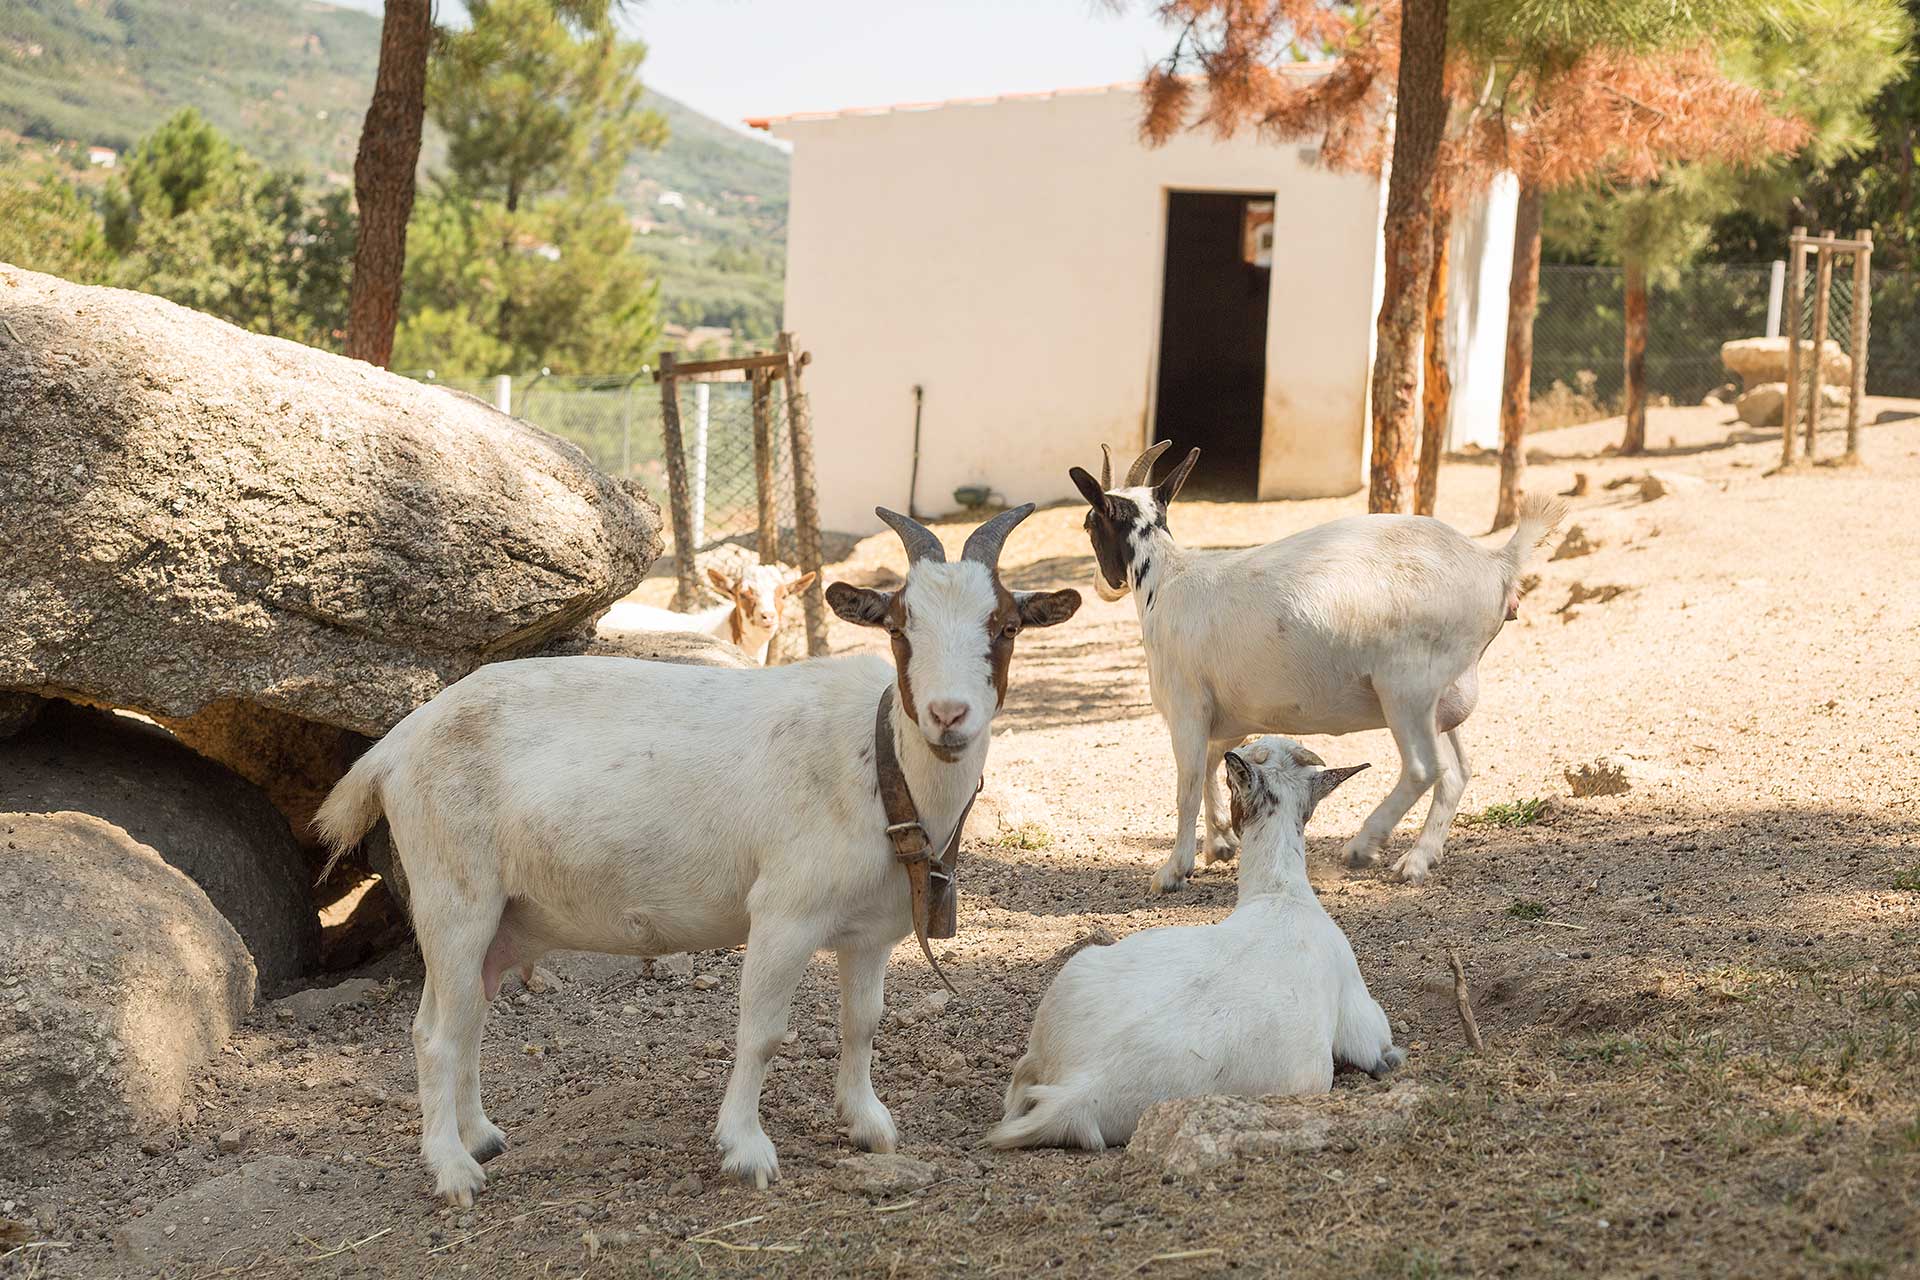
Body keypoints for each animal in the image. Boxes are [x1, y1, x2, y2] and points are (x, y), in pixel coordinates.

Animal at [1069, 442, 1563, 891]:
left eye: (1089, 523)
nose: (1101, 585)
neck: (1168, 580)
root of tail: (1496, 565)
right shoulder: (1228, 715)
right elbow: (1213, 766)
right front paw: (1220, 843)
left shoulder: (1187, 705)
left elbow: (1187, 785)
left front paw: (1173, 870)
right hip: (1445, 696)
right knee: (1457, 772)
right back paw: (1419, 859)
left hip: (1407, 686)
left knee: (1425, 767)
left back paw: (1363, 845)